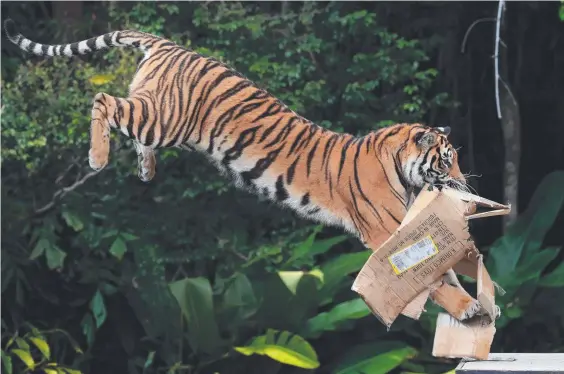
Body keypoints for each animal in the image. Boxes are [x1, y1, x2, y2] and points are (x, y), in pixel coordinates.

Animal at [3, 19, 480, 320]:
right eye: (447, 158)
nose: (464, 179)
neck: (403, 171)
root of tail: (170, 45)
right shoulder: (386, 234)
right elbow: (433, 280)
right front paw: (467, 307)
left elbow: (444, 270)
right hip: (163, 117)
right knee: (103, 101)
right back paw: (97, 158)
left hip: (158, 118)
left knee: (130, 124)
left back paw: (145, 169)